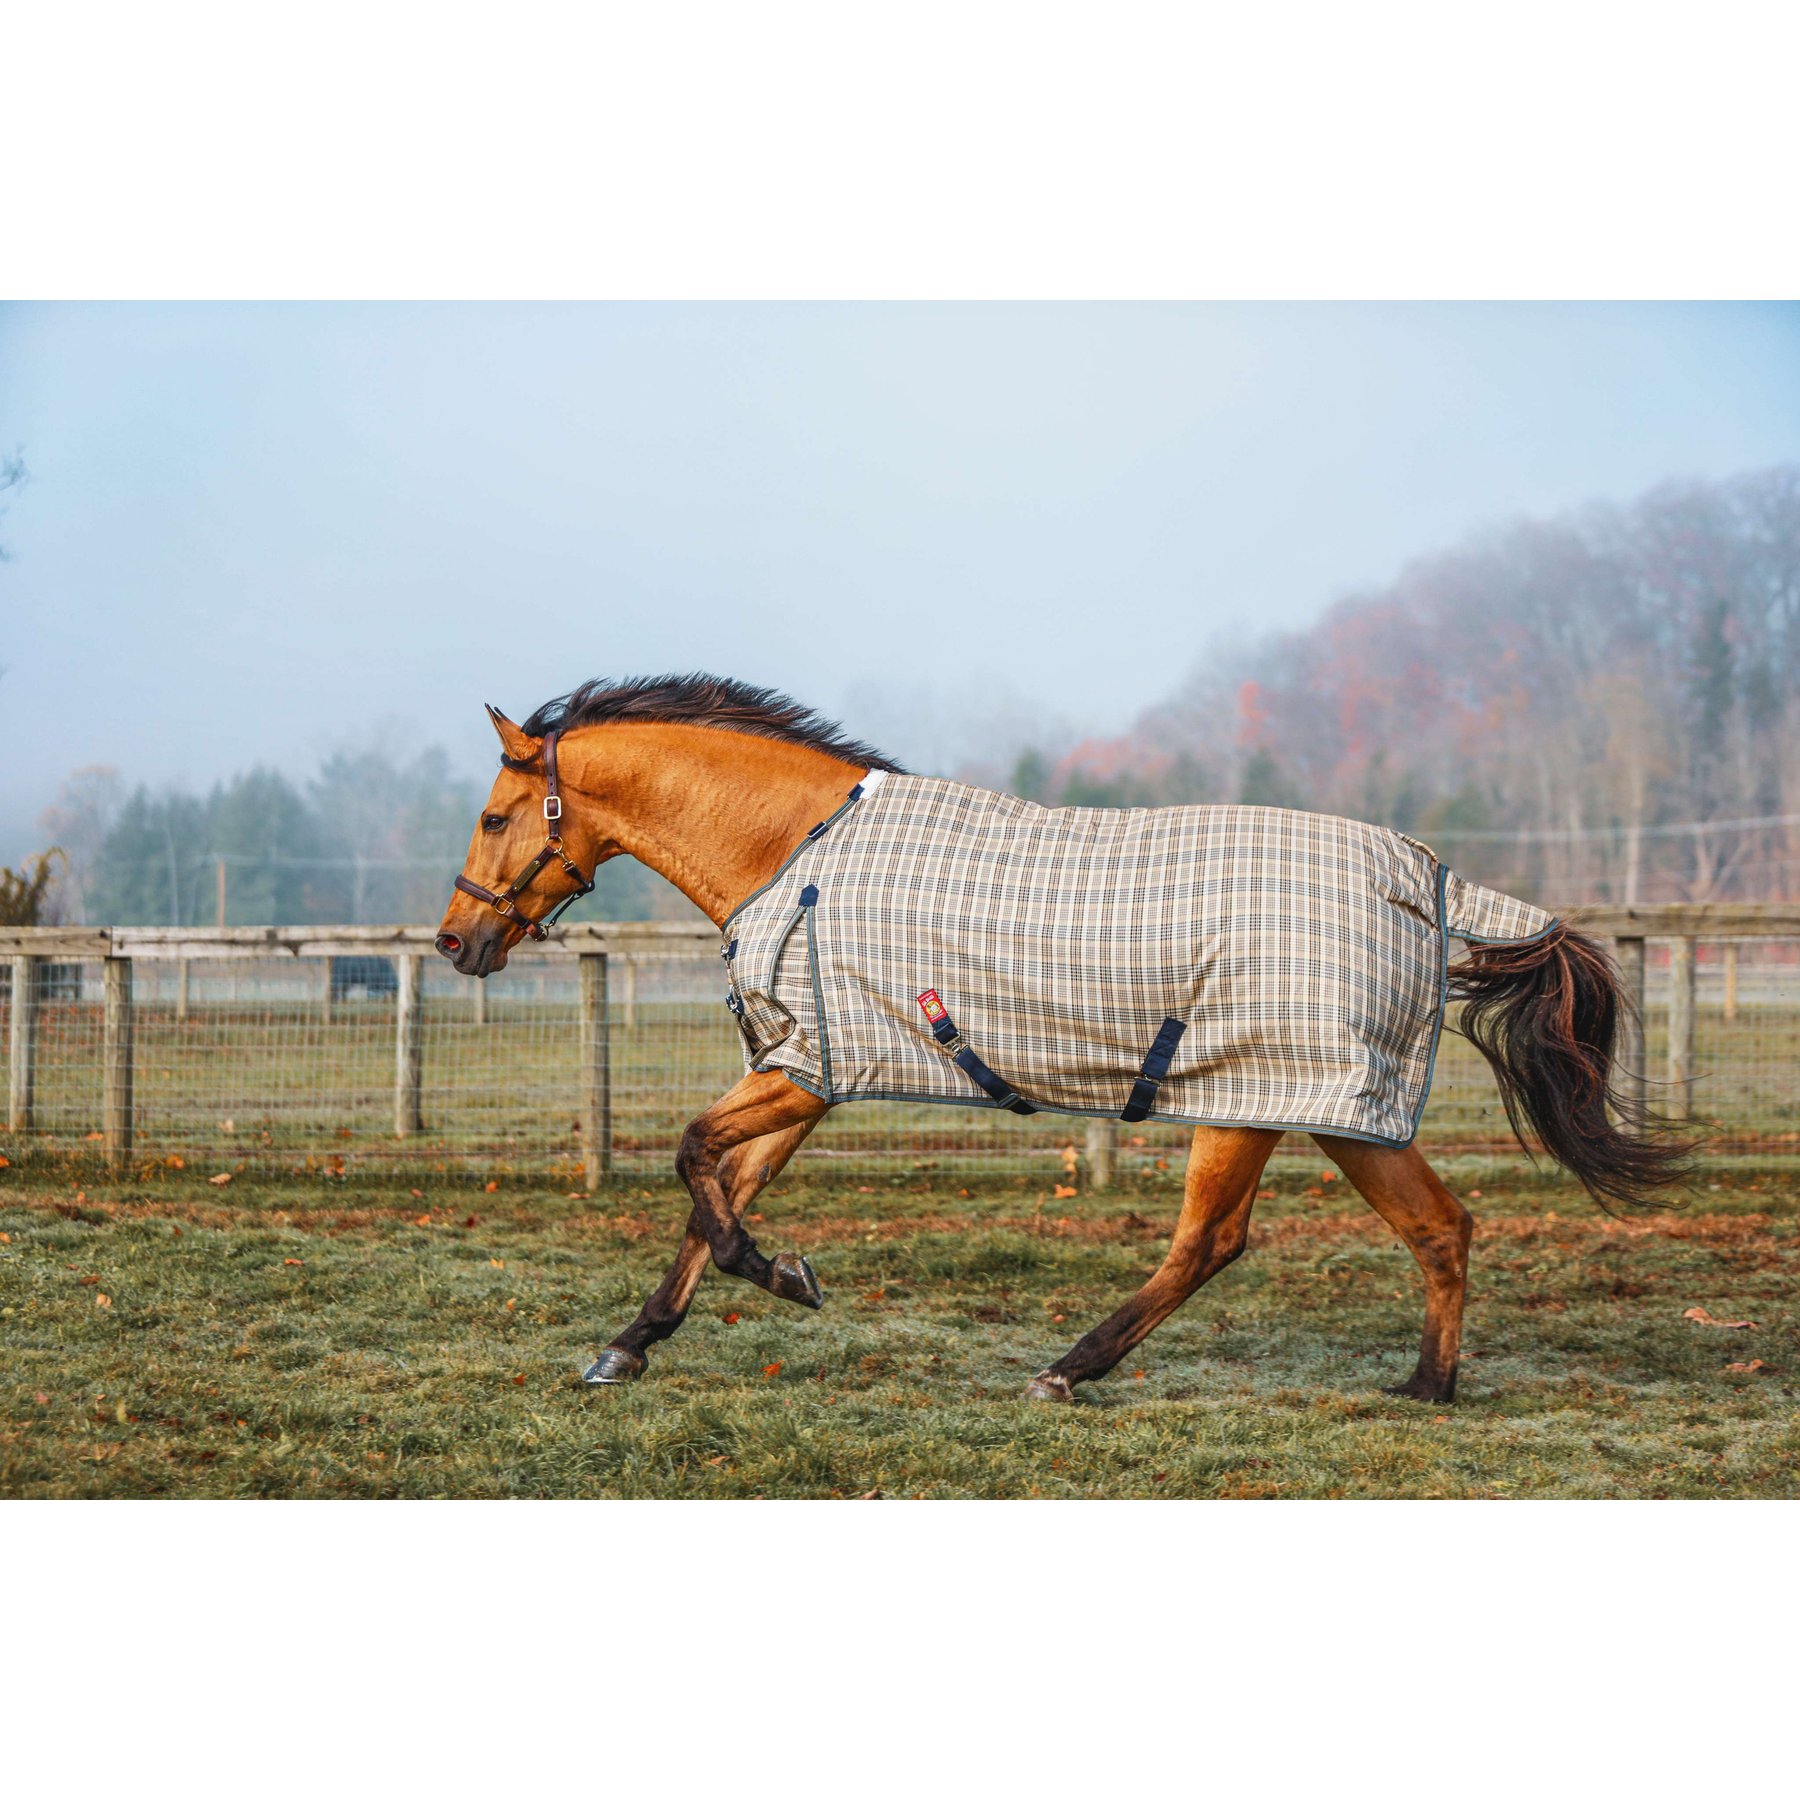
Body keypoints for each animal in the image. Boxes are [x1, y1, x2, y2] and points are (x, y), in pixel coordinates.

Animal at [435, 675, 1688, 1404]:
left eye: (495, 816)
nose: (456, 940)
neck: (797, 852)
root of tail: (1428, 882)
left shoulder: (805, 1071)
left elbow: (697, 1163)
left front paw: (785, 1277)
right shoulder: (807, 1069)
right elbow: (715, 1196)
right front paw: (632, 1344)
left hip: (1249, 1102)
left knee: (1211, 1244)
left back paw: (1067, 1370)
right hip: (1338, 1112)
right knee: (1438, 1229)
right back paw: (1426, 1389)